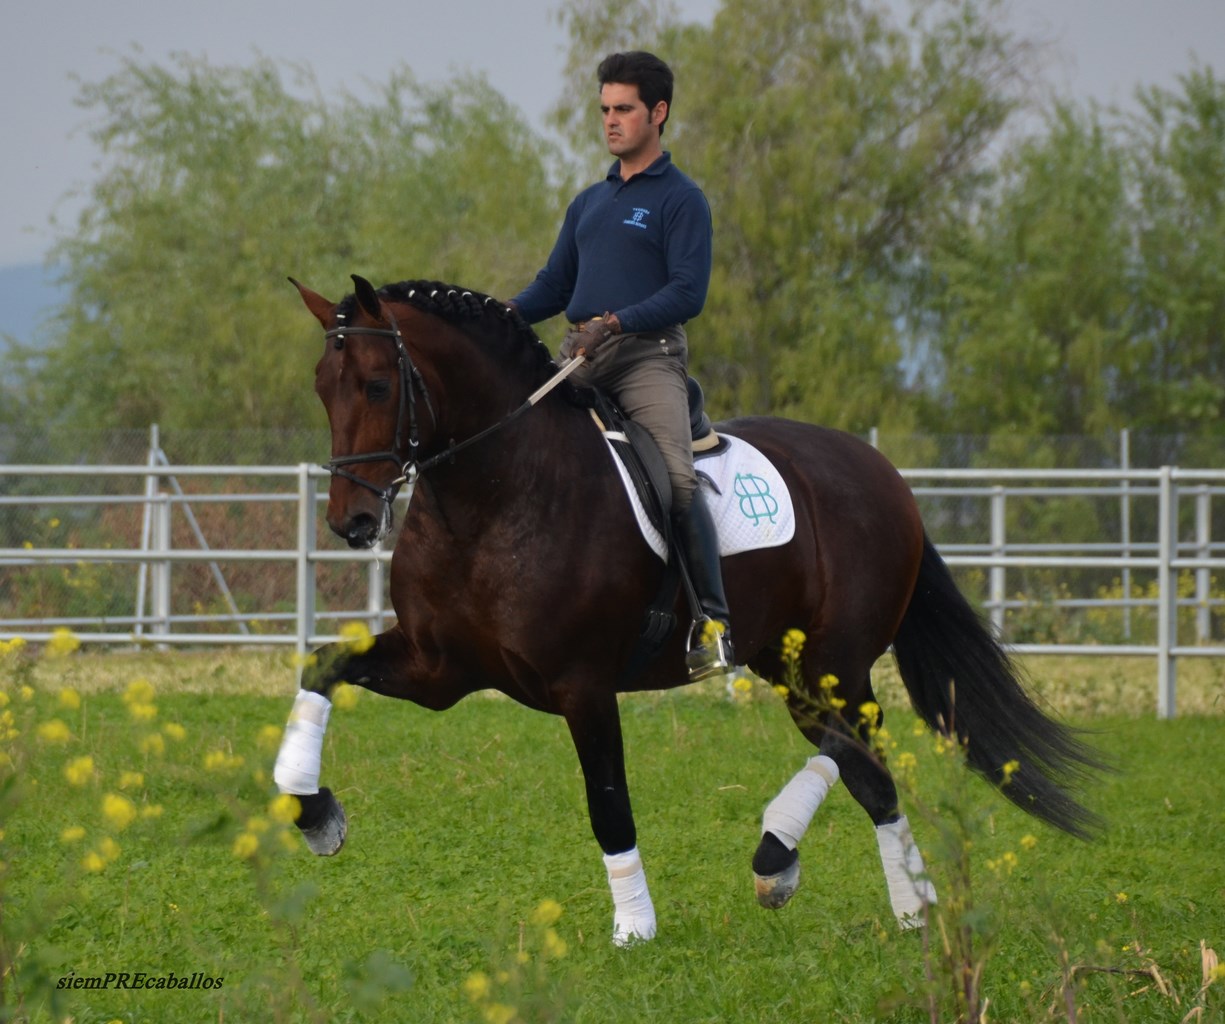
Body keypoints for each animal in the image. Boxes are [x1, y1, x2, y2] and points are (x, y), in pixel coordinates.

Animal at [275, 275, 1102, 945]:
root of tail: (881, 471)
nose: (350, 522)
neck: (495, 496)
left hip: (834, 662)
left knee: (855, 746)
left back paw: (783, 856)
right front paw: (313, 813)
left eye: (376, 386)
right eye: (319, 385)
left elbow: (607, 802)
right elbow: (322, 667)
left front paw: (634, 927)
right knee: (866, 768)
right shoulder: (437, 670)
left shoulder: (582, 686)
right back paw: (906, 905)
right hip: (790, 666)